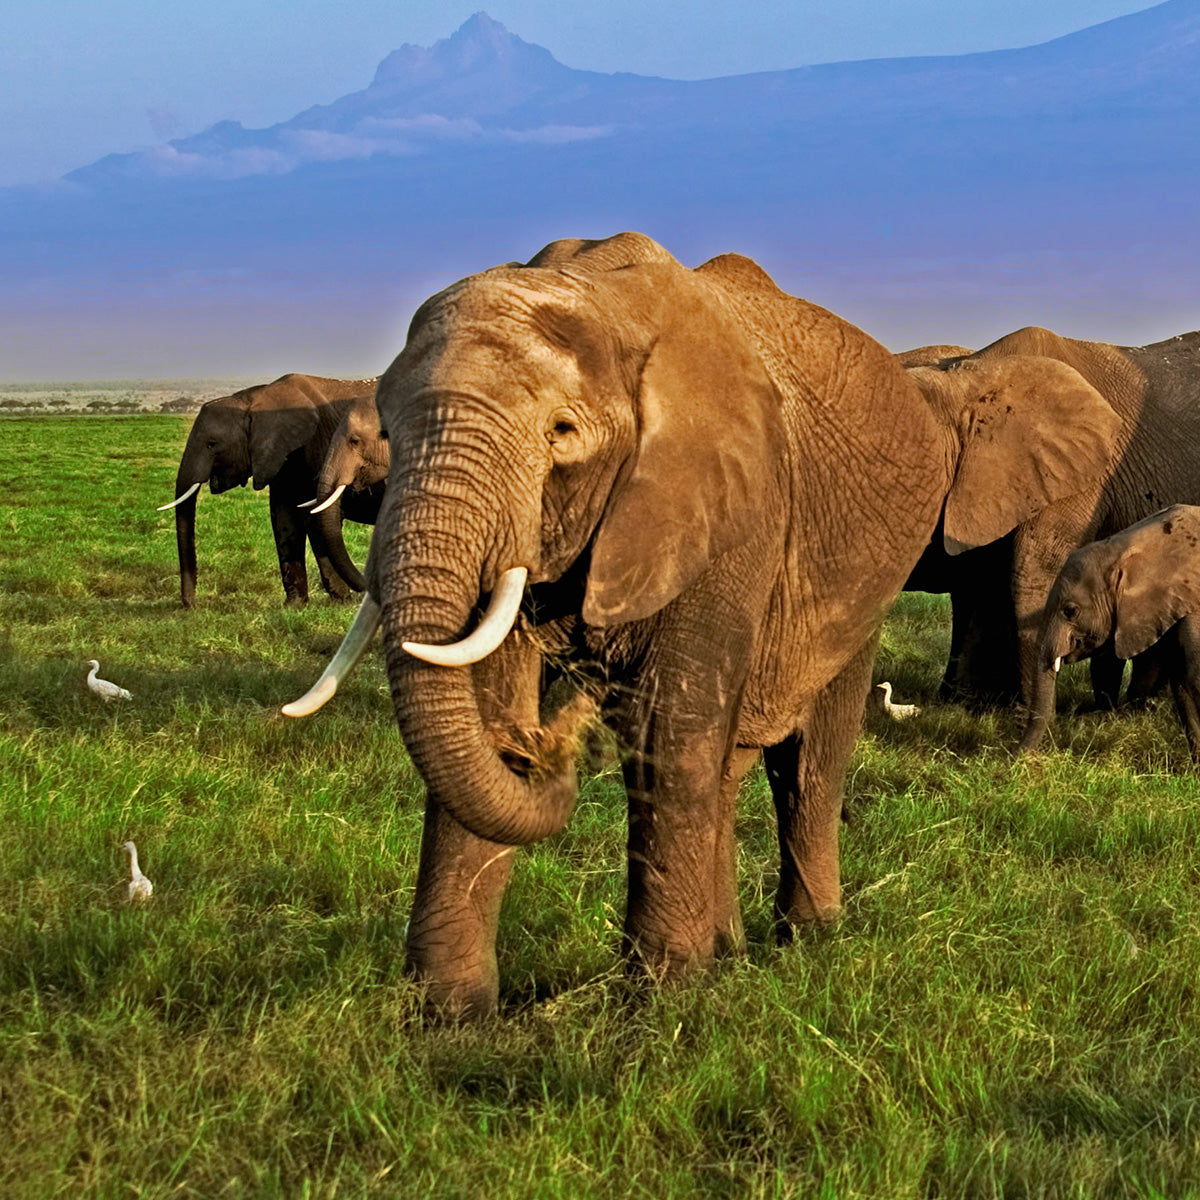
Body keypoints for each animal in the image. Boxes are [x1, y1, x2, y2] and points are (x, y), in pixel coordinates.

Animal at [160, 372, 374, 604]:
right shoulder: (280, 455)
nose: (192, 604)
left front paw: (341, 600)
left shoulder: (322, 444)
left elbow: (318, 517)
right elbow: (283, 516)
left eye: (212, 443)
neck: (253, 399)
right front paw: (294, 605)